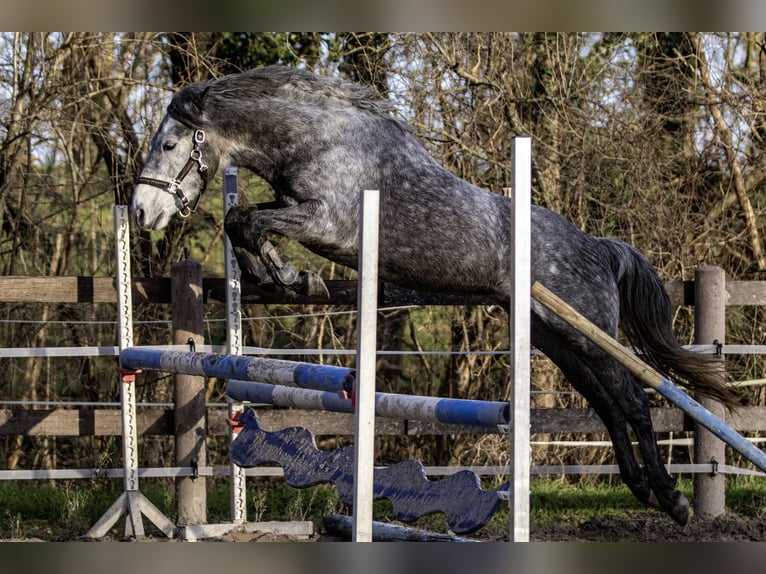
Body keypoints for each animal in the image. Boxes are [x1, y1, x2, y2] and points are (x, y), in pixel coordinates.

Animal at [131, 65, 739, 526]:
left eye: (168, 143)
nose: (141, 212)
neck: (318, 139)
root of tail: (599, 247)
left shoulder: (327, 222)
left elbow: (250, 220)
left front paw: (288, 275)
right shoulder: (299, 213)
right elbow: (241, 221)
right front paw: (279, 276)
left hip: (586, 334)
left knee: (634, 403)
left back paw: (674, 501)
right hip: (557, 339)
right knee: (610, 407)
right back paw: (643, 490)